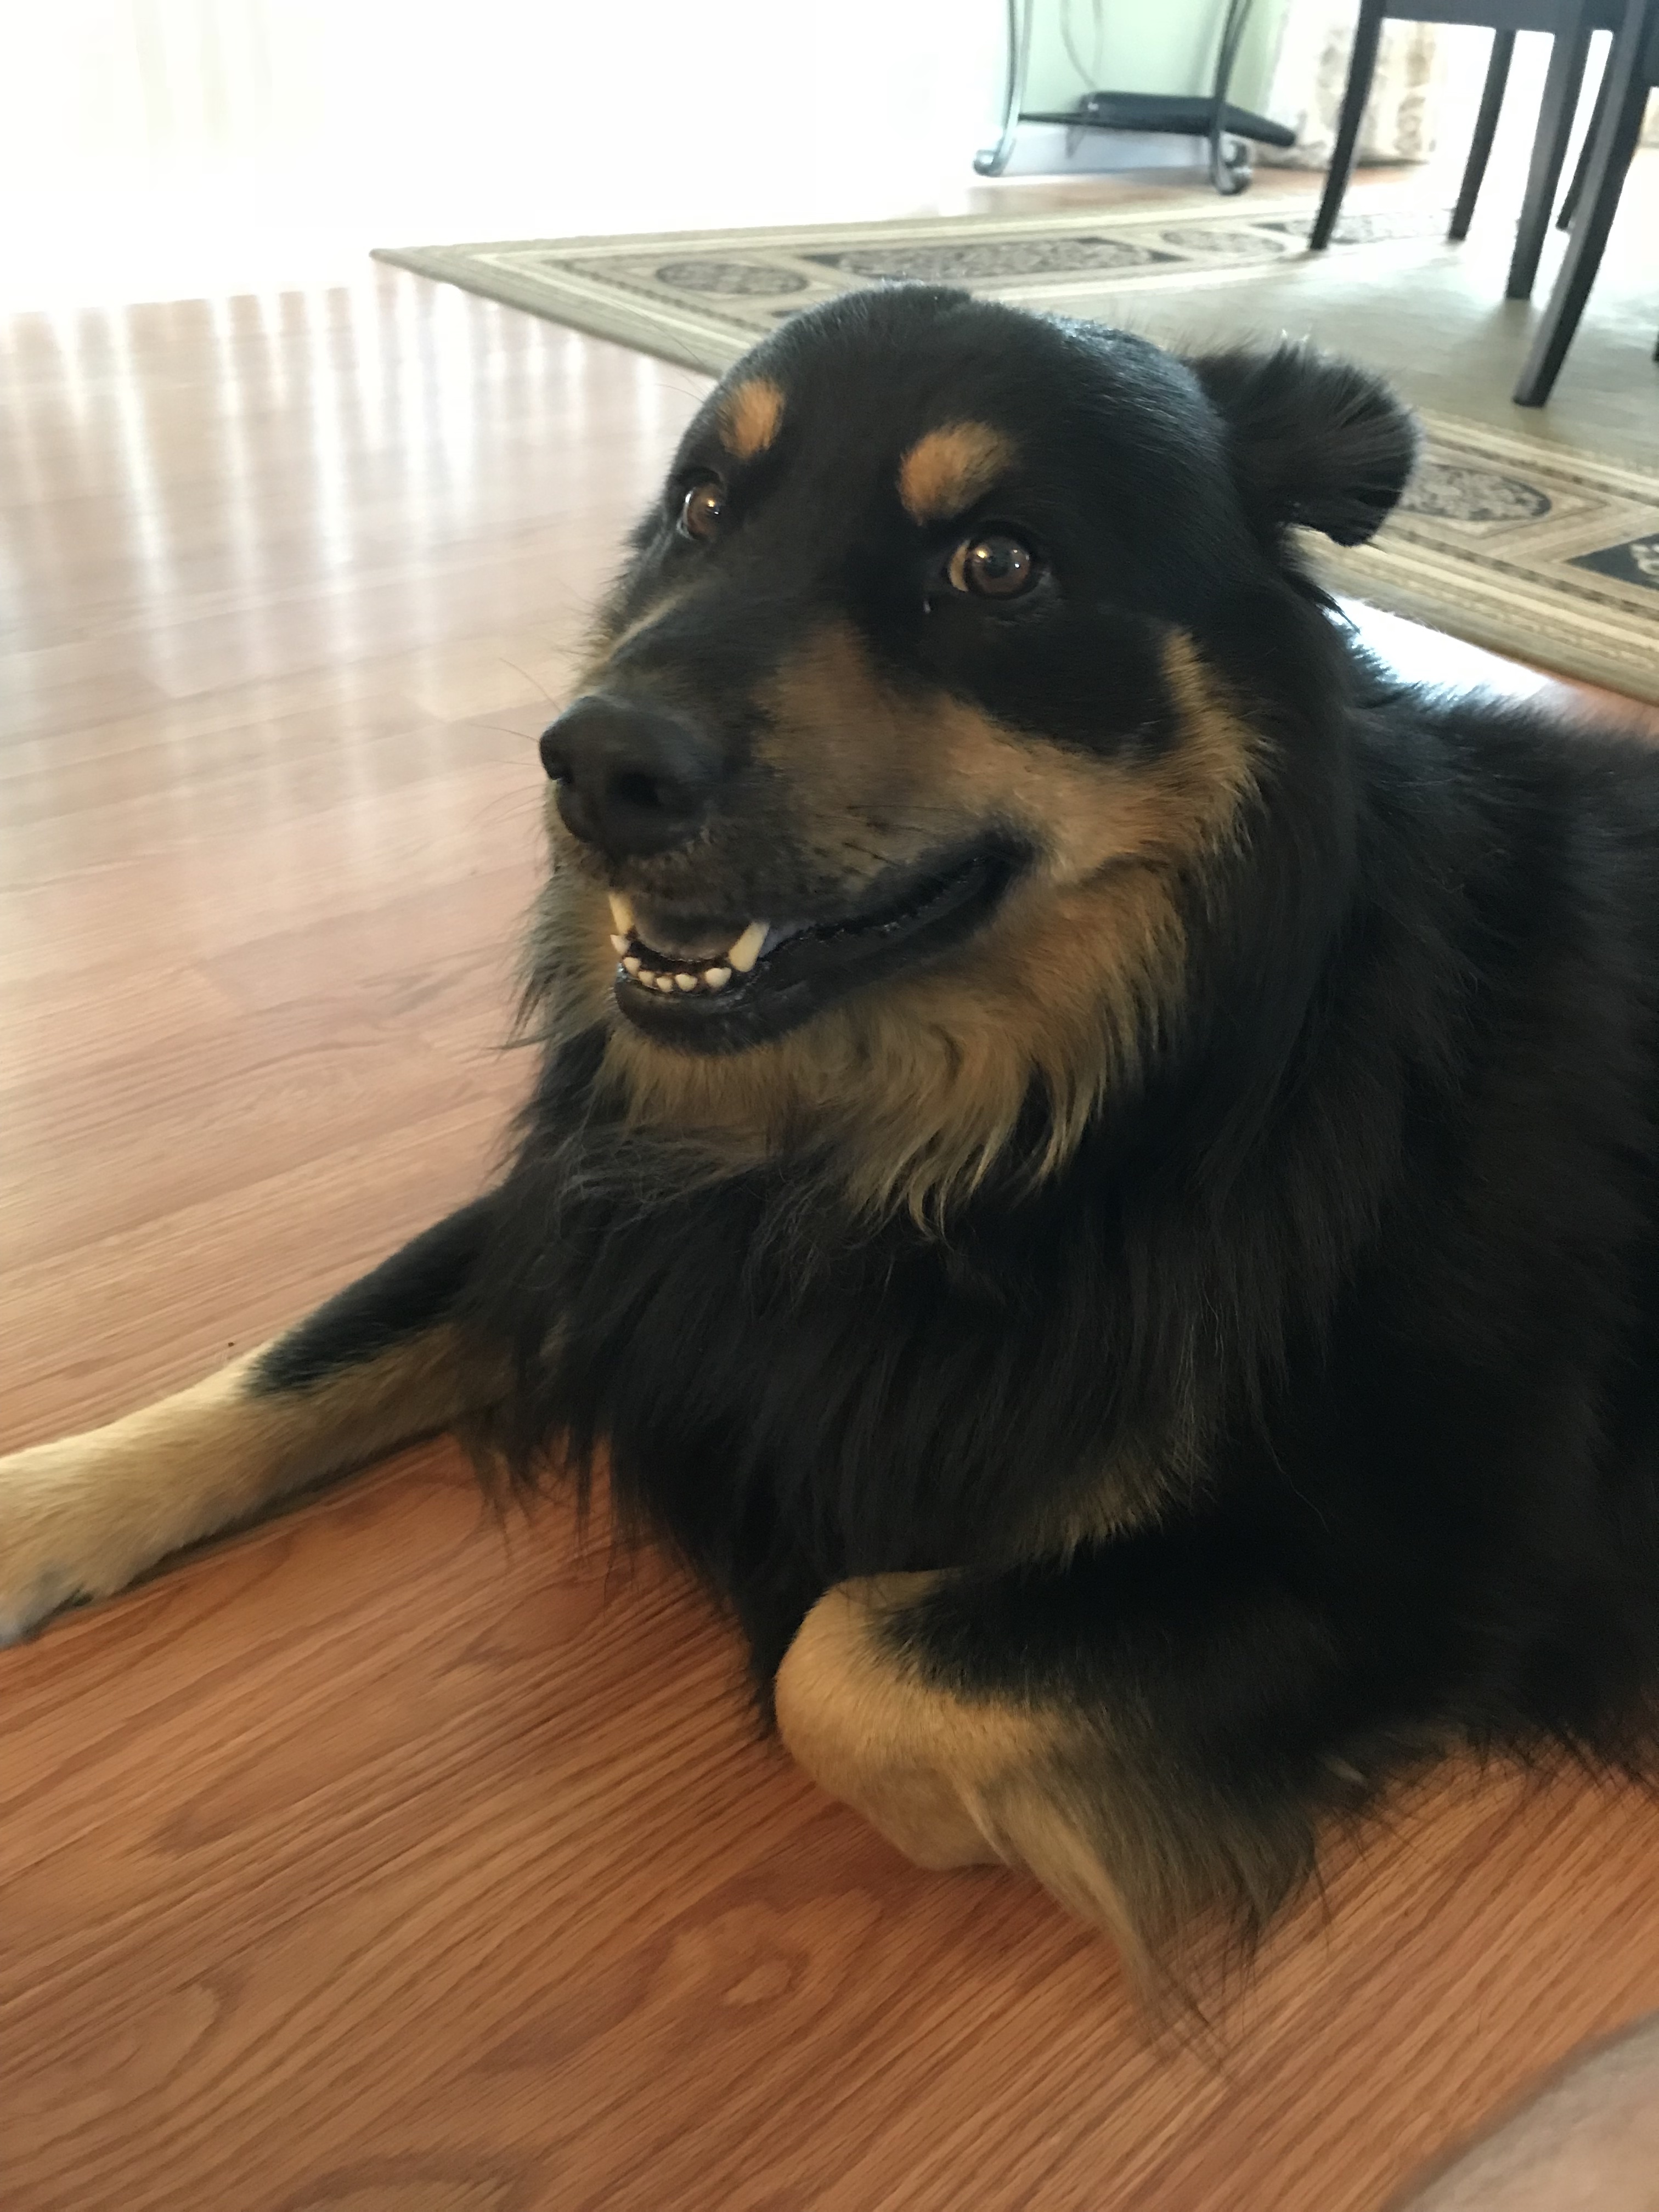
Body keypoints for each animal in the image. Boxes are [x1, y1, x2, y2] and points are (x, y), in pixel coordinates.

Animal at [3, 285, 1659, 1982]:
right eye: (699, 508)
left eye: (997, 564)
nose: (594, 767)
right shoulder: (587, 1216)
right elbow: (310, 1346)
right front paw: (41, 1504)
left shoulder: (1413, 1558)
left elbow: (839, 1658)